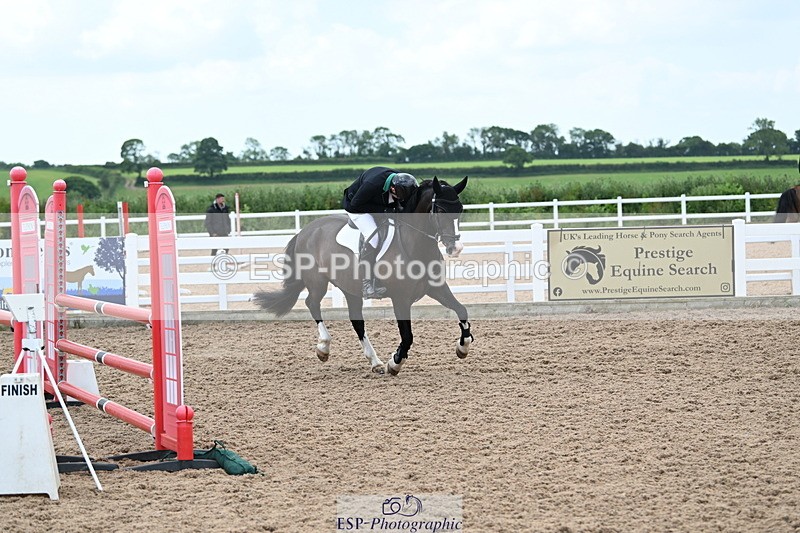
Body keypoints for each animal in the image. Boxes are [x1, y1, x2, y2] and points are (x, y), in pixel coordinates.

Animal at [252, 176, 473, 376]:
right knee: (312, 303)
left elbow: (461, 310)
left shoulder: (436, 288)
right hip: (317, 282)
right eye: (441, 211)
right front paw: (395, 363)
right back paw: (324, 348)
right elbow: (407, 336)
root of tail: (305, 231)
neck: (415, 244)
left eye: (461, 209)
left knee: (356, 321)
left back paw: (375, 362)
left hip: (350, 289)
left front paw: (463, 347)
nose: (456, 248)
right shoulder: (400, 298)